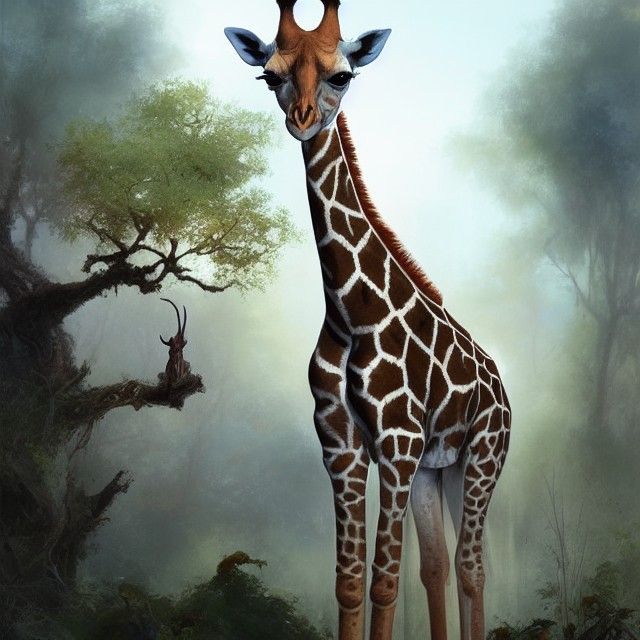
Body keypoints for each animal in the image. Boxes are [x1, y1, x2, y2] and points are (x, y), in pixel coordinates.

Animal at [225, 3, 511, 640]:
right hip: (436, 470)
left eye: (343, 75)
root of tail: (502, 387)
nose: (304, 120)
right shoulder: (342, 445)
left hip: (483, 457)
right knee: (439, 565)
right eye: (269, 76)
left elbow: (385, 582)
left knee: (473, 565)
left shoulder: (397, 445)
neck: (350, 312)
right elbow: (353, 583)